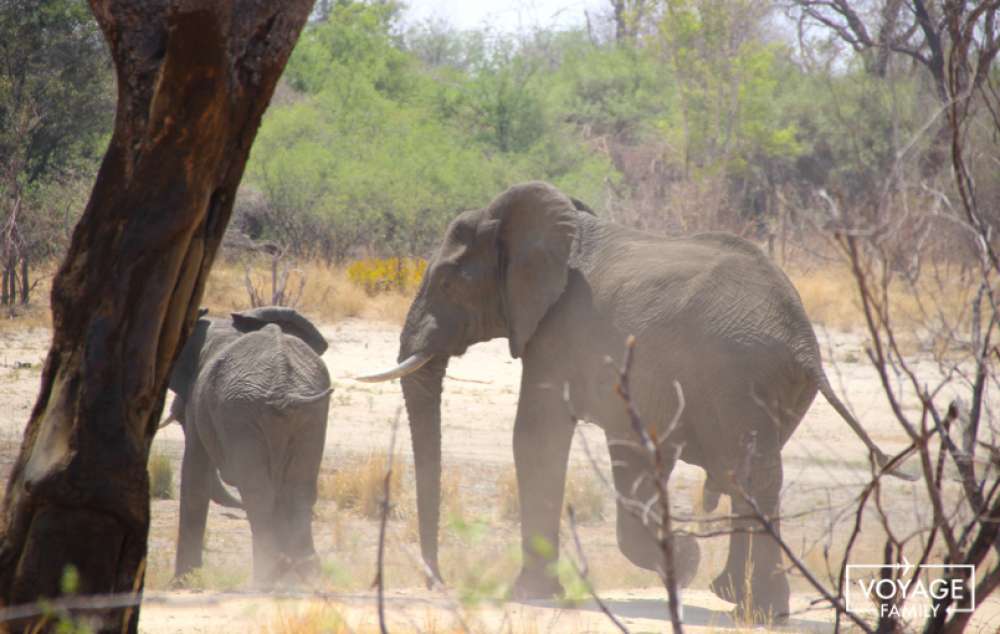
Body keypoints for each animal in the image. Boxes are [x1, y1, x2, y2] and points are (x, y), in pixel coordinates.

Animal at [168, 304, 332, 584]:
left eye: (179, 416)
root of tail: (283, 389)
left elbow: (194, 475)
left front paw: (182, 581)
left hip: (241, 413)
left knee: (259, 492)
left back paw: (267, 575)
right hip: (311, 413)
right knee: (299, 489)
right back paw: (306, 574)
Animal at [358, 180, 900, 620]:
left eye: (448, 281)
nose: (439, 582)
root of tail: (804, 342)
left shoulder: (561, 330)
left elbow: (535, 435)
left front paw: (534, 594)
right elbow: (629, 450)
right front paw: (682, 560)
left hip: (739, 378)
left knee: (748, 474)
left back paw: (754, 609)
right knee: (746, 474)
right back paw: (740, 601)